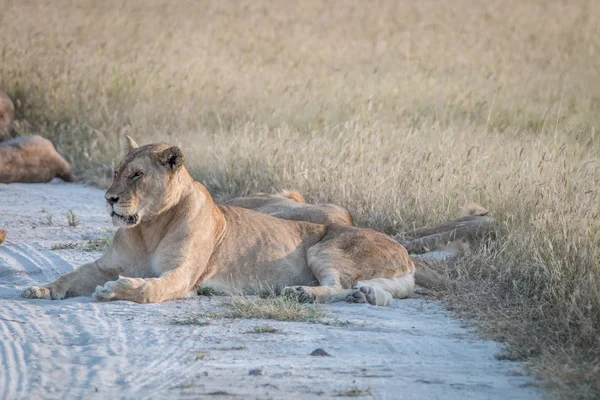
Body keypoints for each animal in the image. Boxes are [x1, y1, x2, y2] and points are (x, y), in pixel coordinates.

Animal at [23, 136, 432, 304]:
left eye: (136, 175)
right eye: (116, 171)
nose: (108, 199)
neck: (147, 228)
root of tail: (405, 253)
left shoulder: (183, 274)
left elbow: (150, 288)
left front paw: (115, 291)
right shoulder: (104, 265)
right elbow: (71, 276)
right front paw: (40, 289)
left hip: (326, 249)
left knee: (337, 285)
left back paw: (304, 293)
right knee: (365, 289)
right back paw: (365, 296)